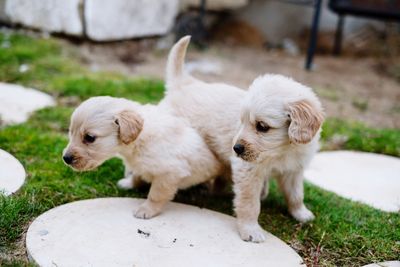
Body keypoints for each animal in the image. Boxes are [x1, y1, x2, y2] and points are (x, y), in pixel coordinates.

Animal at [64, 96, 223, 220]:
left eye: (89, 138)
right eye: (70, 132)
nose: (65, 158)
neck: (138, 142)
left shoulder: (169, 173)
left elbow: (156, 194)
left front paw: (146, 210)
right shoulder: (140, 166)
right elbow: (137, 175)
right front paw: (129, 183)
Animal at [161, 36, 324, 243]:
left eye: (262, 126)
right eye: (242, 121)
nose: (236, 148)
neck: (282, 149)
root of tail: (185, 83)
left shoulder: (294, 170)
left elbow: (296, 194)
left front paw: (301, 214)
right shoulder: (247, 171)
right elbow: (249, 203)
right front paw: (250, 229)